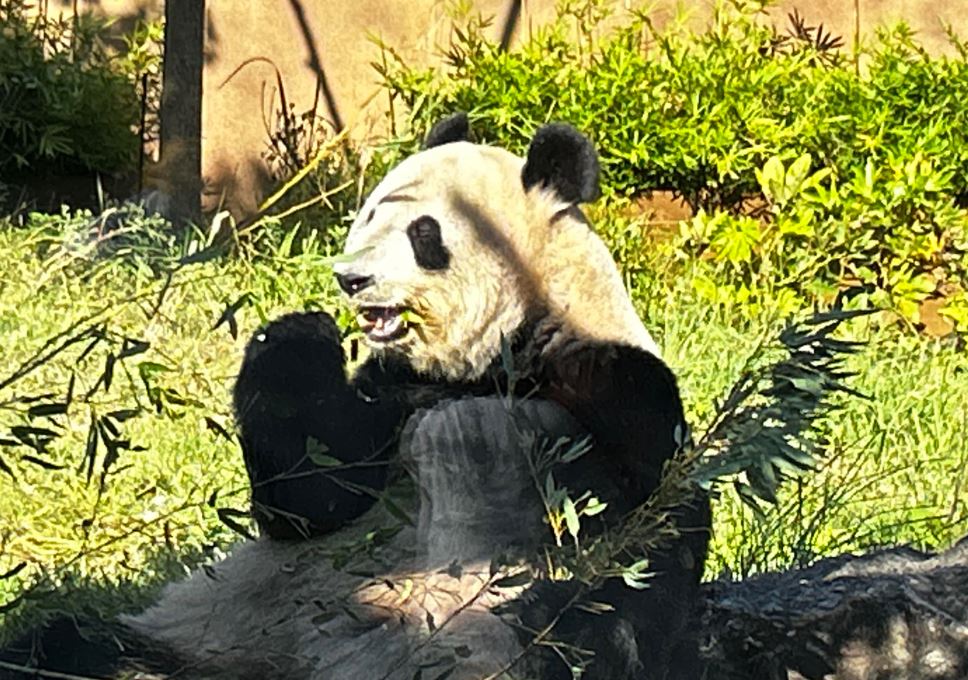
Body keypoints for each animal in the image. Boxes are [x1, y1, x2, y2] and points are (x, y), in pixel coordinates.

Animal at [0, 115, 712, 680]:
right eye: (367, 215)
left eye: (425, 234)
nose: (351, 279)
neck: (487, 361)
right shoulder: (394, 388)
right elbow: (316, 499)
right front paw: (298, 337)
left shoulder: (608, 382)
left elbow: (648, 534)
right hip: (209, 633)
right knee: (74, 648)